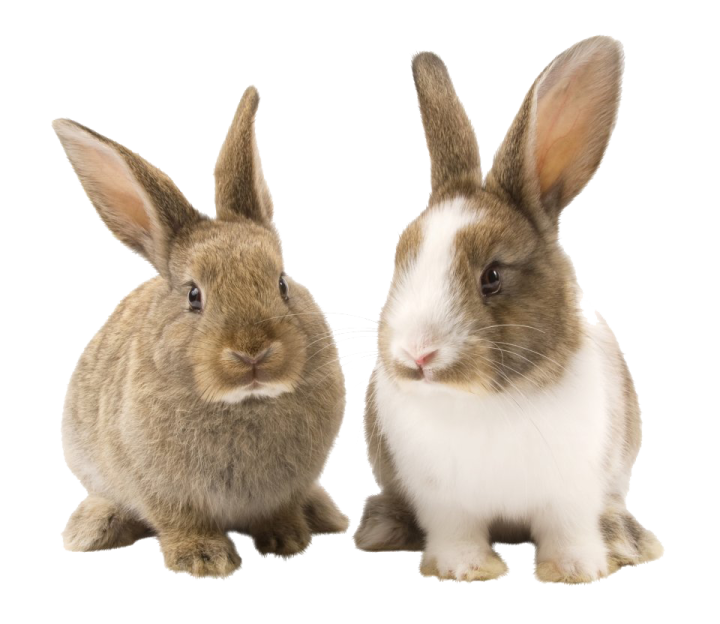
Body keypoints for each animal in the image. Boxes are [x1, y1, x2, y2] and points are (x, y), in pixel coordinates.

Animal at [53, 85, 349, 579]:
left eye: (282, 284)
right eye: (194, 296)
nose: (253, 353)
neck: (245, 402)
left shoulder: (286, 487)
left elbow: (280, 510)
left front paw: (287, 540)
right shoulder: (164, 490)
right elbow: (180, 521)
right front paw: (204, 559)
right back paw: (92, 530)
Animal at [352, 35, 664, 584]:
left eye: (492, 277)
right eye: (401, 258)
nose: (417, 354)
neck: (484, 403)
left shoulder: (573, 493)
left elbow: (568, 530)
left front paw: (576, 569)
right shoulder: (443, 503)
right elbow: (457, 532)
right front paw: (467, 568)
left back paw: (629, 541)